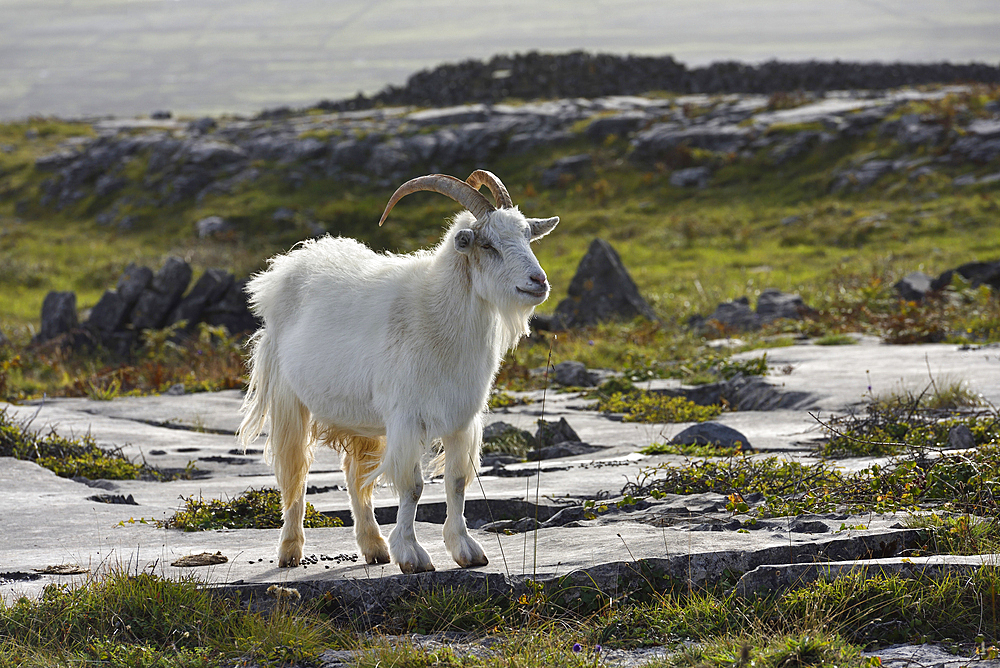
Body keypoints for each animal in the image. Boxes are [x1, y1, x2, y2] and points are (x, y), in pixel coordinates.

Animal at [237, 170, 560, 572]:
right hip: (289, 399)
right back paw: (290, 551)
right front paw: (412, 554)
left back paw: (374, 547)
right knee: (294, 472)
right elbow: (413, 486)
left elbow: (456, 481)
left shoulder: (461, 419)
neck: (435, 316)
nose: (538, 281)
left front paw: (465, 549)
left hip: (361, 417)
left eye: (527, 237)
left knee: (355, 475)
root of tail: (287, 265)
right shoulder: (406, 418)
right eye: (487, 245)